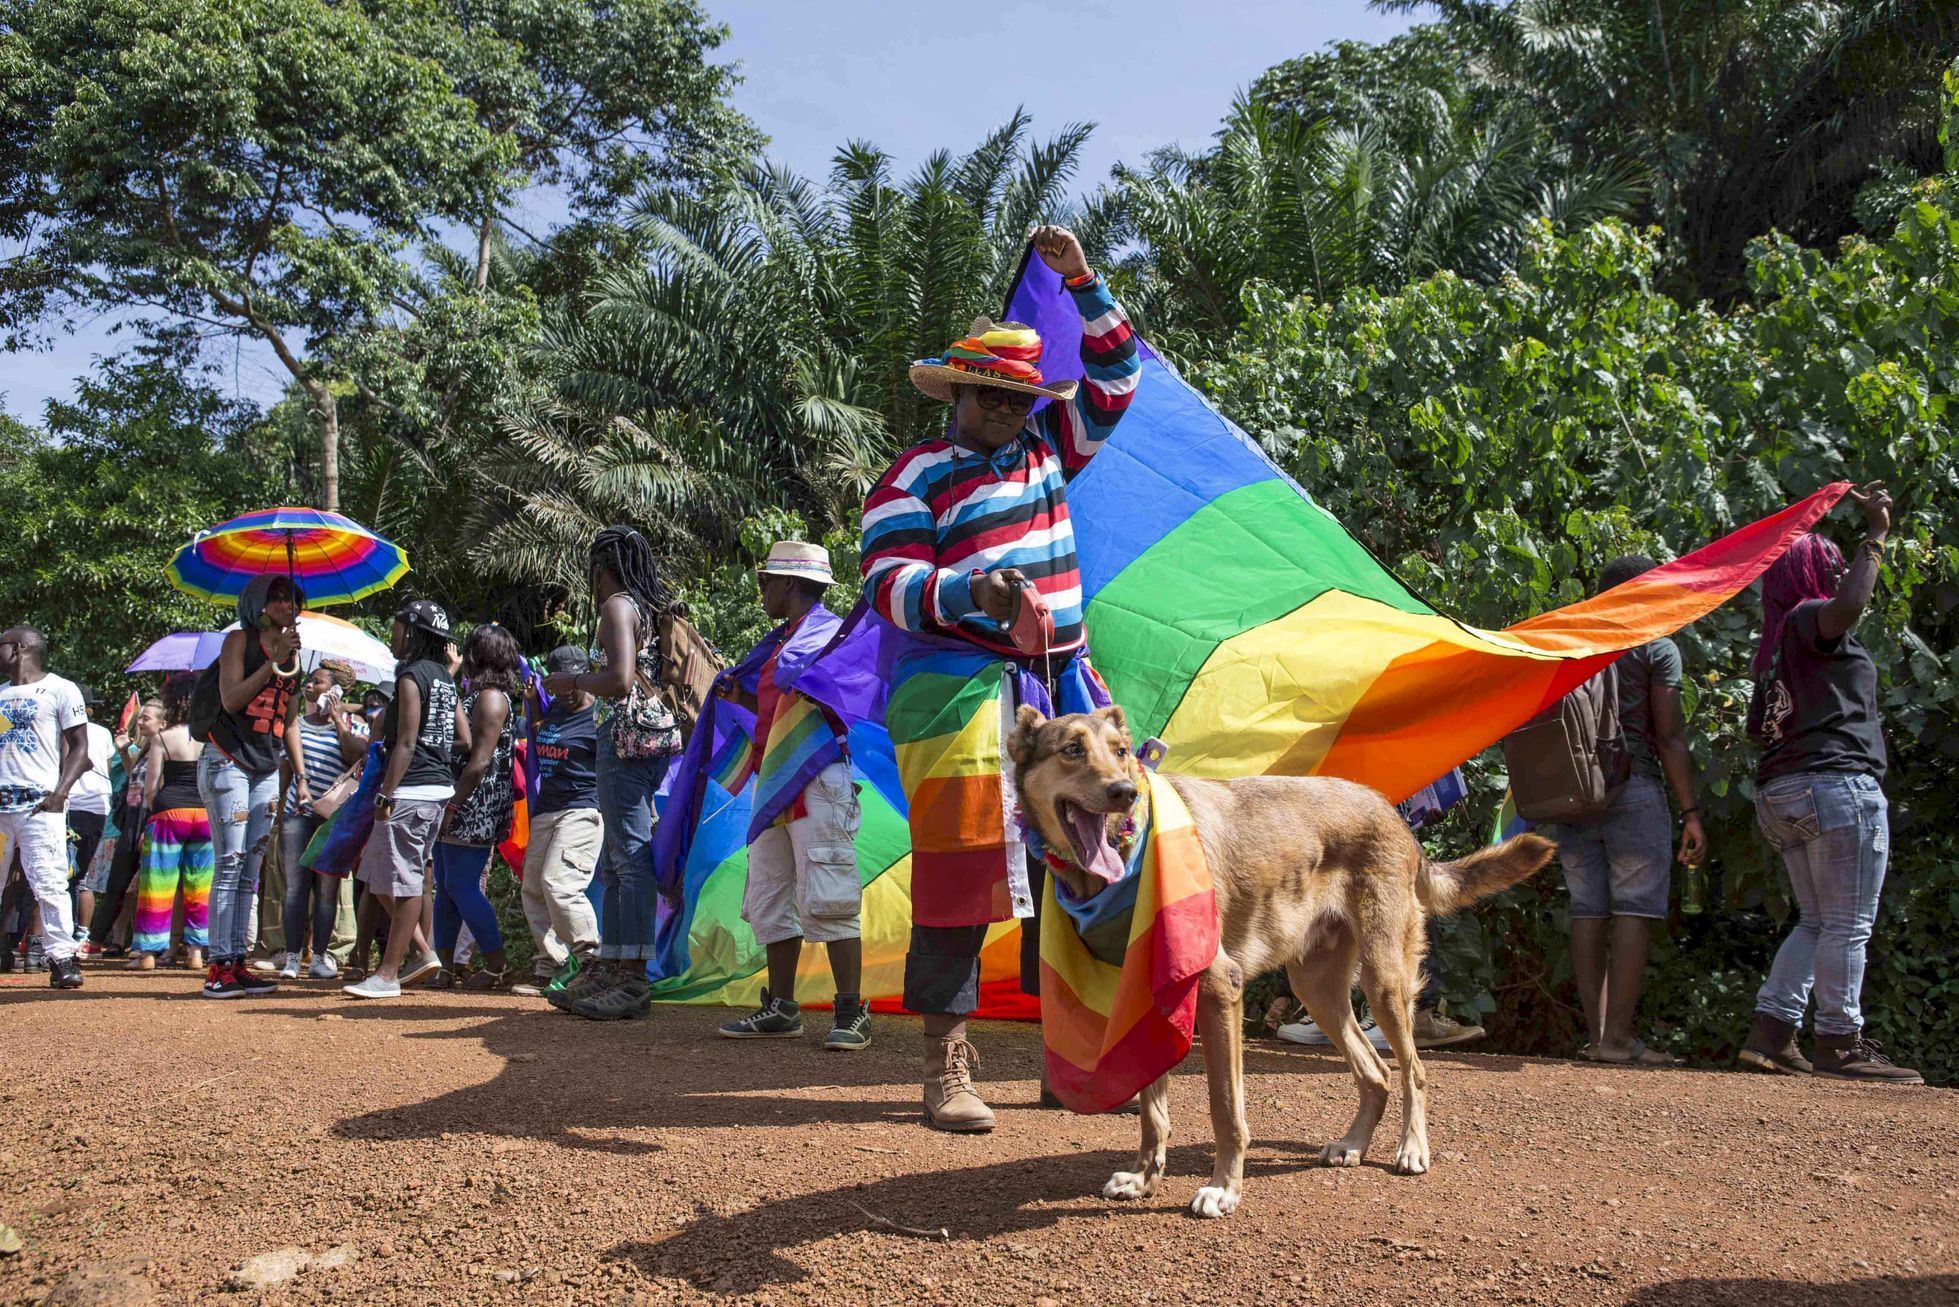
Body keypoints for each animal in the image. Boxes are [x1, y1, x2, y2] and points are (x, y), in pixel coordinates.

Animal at [1018, 705, 1551, 1214]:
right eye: (1072, 750)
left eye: (1122, 752)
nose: (1125, 792)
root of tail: (1392, 813)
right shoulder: (1147, 1005)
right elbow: (1154, 1116)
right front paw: (1145, 1178)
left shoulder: (1222, 991)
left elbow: (1225, 1110)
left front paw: (1224, 1189)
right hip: (1317, 990)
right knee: (1376, 1074)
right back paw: (1353, 1145)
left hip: (1383, 983)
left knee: (1413, 1071)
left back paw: (1412, 1149)